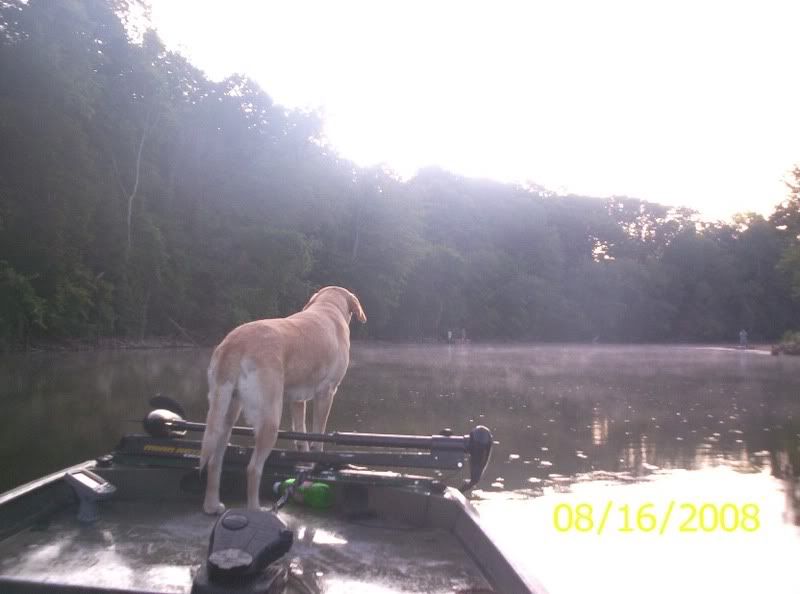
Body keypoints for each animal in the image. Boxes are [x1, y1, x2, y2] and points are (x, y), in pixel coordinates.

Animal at [199, 286, 367, 514]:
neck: (328, 305)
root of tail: (234, 344)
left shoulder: (297, 400)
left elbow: (301, 437)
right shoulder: (327, 392)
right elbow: (318, 435)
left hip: (225, 412)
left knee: (215, 461)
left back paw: (212, 505)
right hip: (269, 418)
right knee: (253, 468)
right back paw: (257, 510)